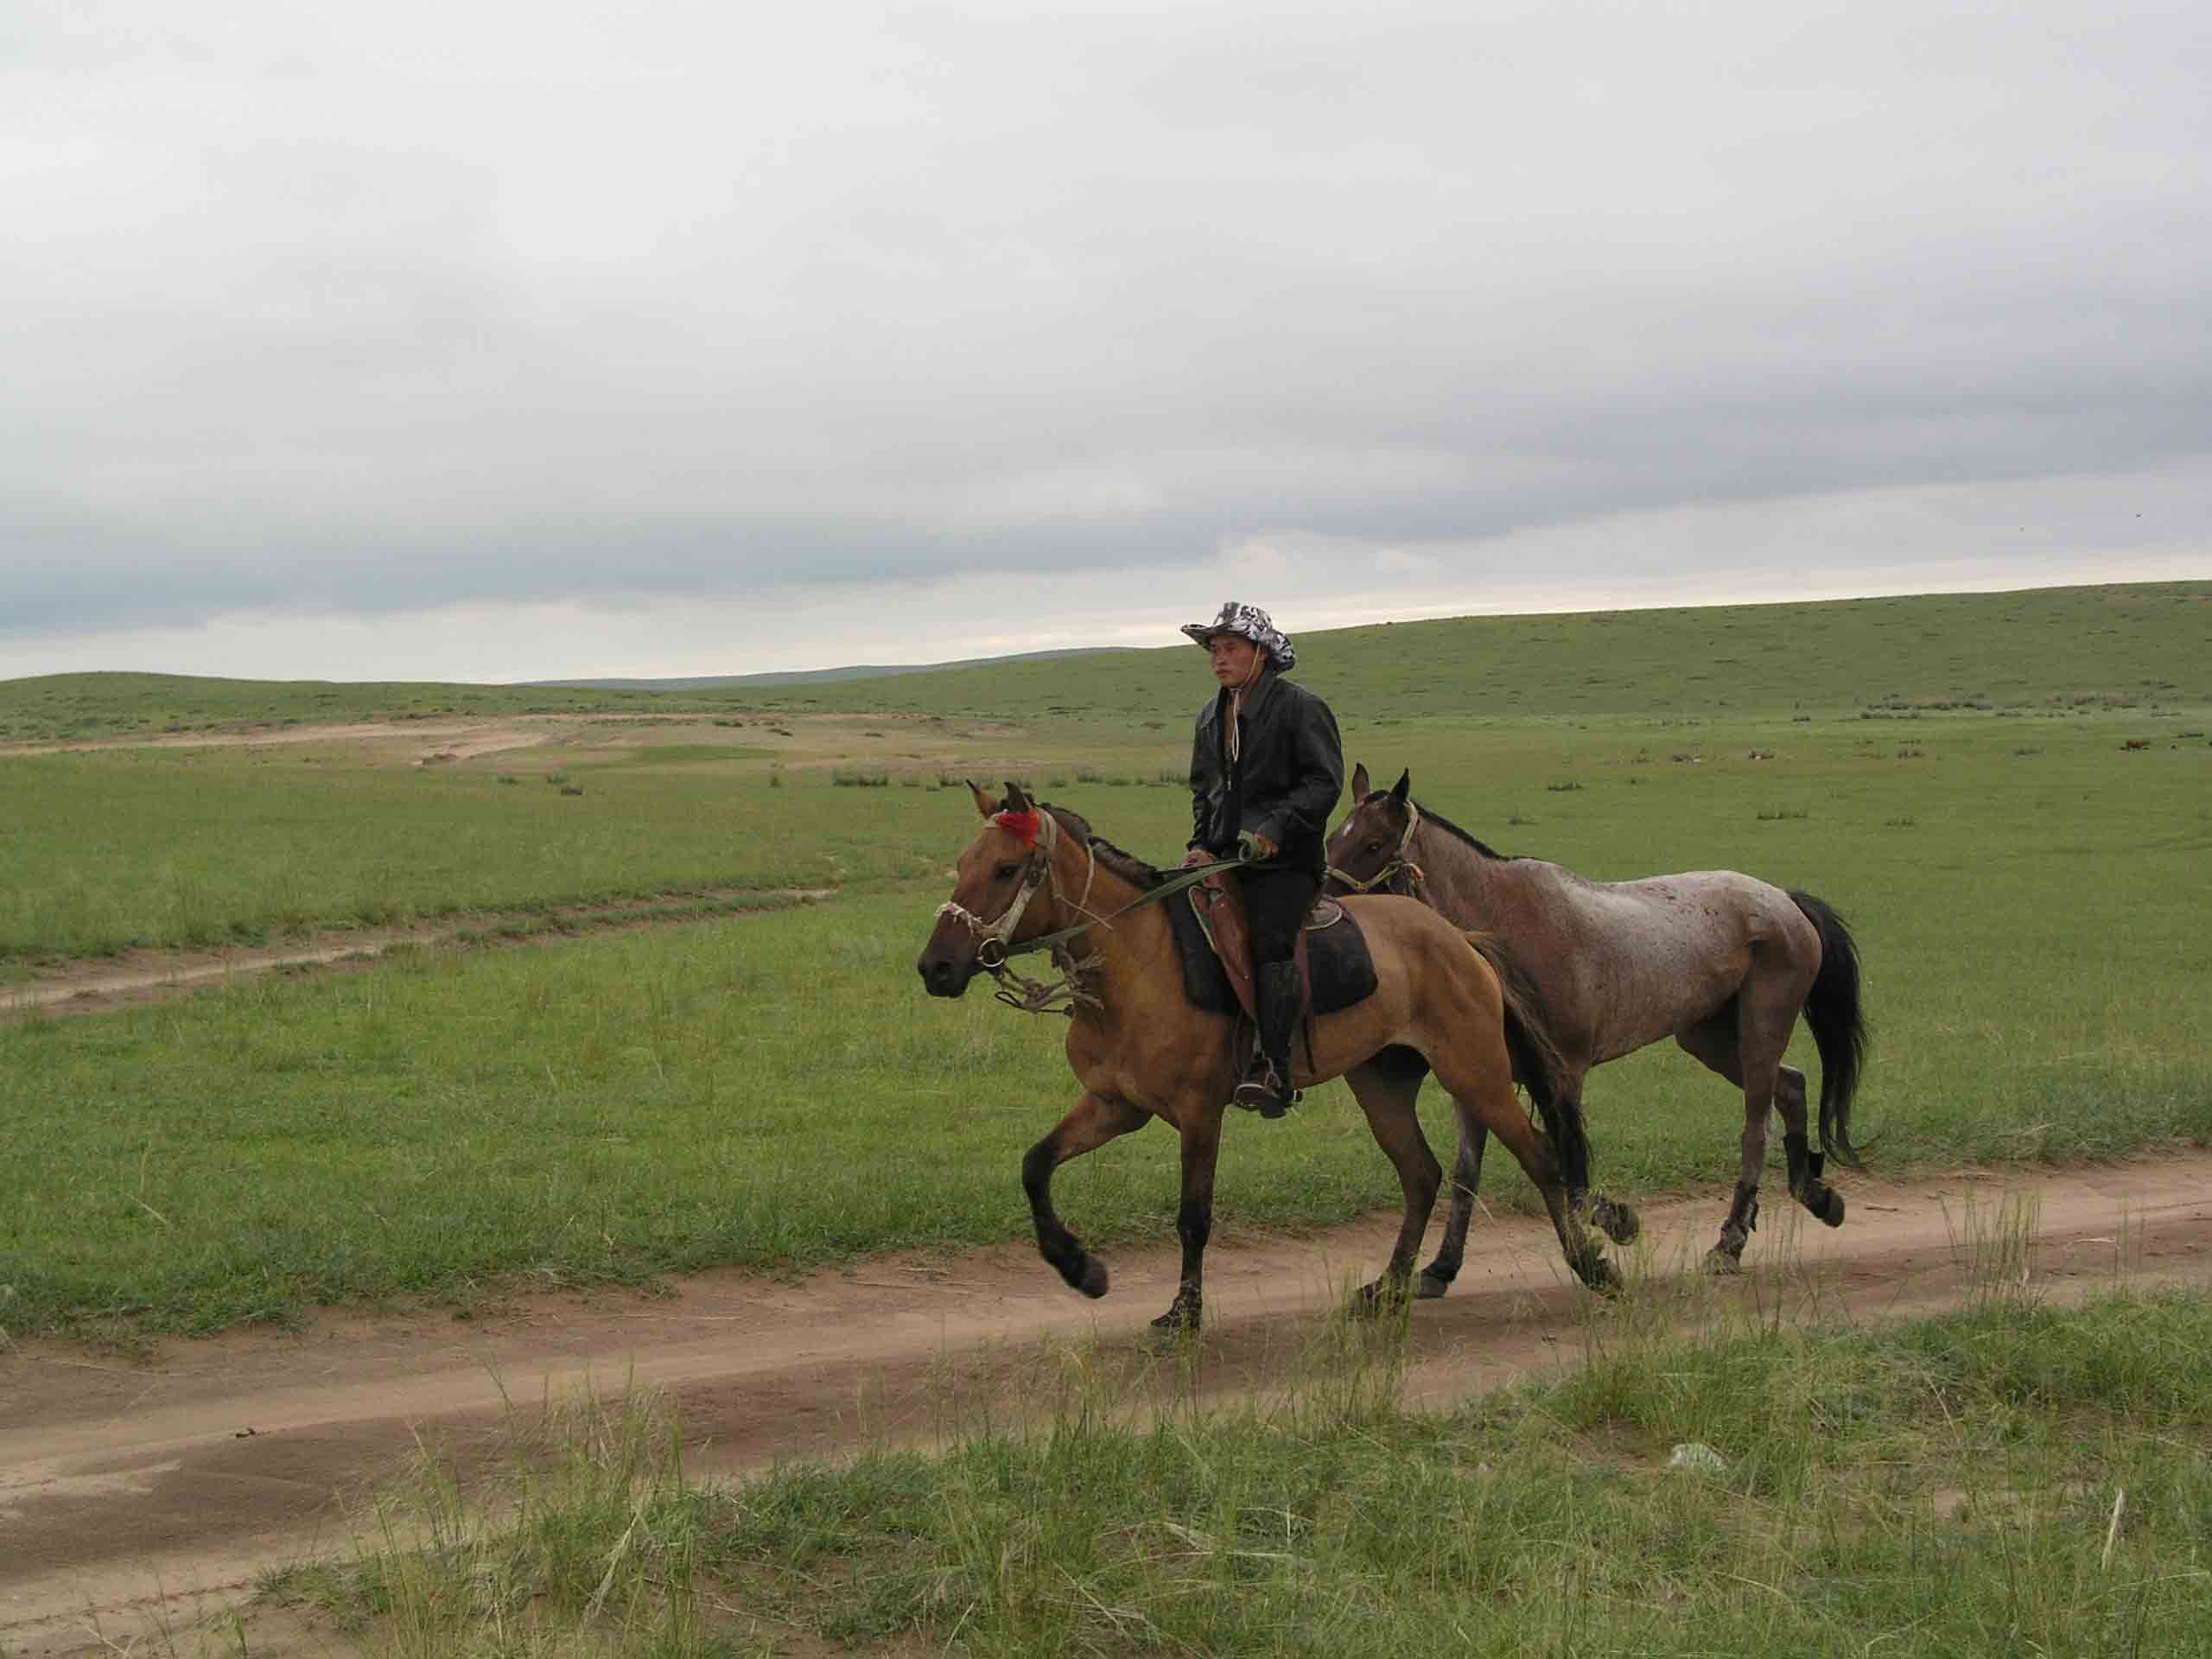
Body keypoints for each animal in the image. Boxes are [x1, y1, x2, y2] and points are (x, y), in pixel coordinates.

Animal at [915, 783, 1628, 1336]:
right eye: (963, 862)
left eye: (1007, 870)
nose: (936, 968)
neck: (1135, 963)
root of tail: (1459, 937)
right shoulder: (1115, 1105)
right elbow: (1035, 1165)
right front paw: (1080, 1269)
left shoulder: (1199, 1113)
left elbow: (1193, 1218)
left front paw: (1184, 1313)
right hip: (1384, 1082)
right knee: (1422, 1175)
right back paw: (1390, 1287)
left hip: (1476, 1076)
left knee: (1539, 1159)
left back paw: (1592, 1267)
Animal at [1327, 765, 1866, 1282]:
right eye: (1334, 837)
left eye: (1373, 845)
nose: (1329, 909)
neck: (1501, 925)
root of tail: (1783, 900)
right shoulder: (1475, 1081)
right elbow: (1467, 1175)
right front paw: (1441, 1268)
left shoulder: (1563, 1076)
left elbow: (1570, 1171)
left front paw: (1615, 1224)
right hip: (1707, 1039)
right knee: (1791, 1086)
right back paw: (1816, 1195)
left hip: (1758, 1034)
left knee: (1756, 1128)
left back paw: (1729, 1244)